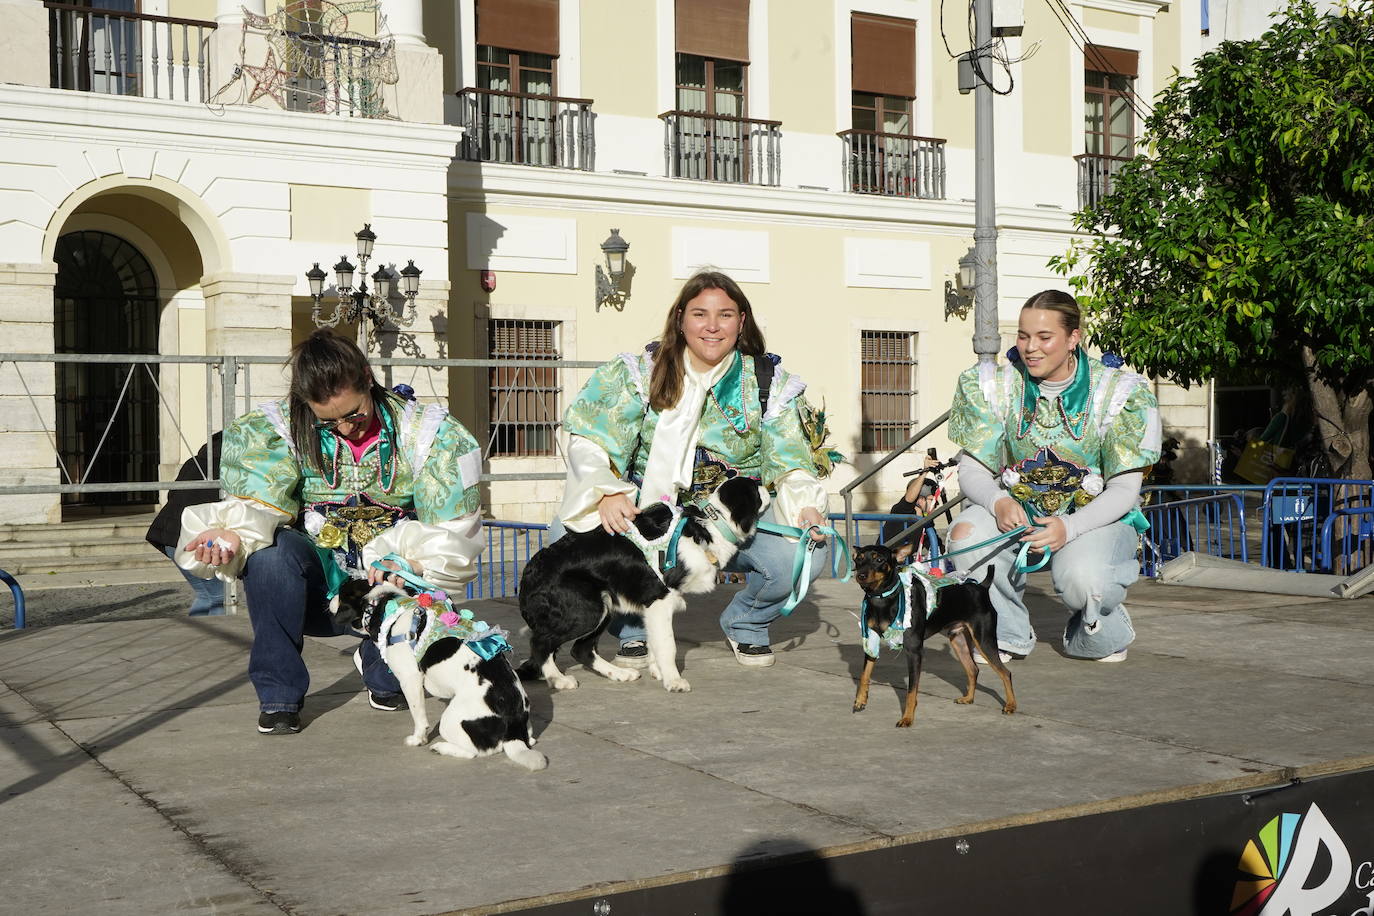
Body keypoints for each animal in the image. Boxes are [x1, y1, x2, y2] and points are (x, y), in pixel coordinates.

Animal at [331, 579, 546, 774]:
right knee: (530, 739)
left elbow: (418, 717)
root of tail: (512, 719)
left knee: (474, 752)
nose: (328, 600)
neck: (389, 604)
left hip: (449, 721)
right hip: (523, 728)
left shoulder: (410, 679)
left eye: (341, 591)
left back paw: (440, 747)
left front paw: (418, 739)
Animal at [516, 480, 774, 694]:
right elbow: (668, 645)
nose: (768, 486)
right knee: (541, 643)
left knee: (582, 649)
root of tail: (530, 571)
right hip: (586, 611)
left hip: (603, 606)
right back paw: (558, 679)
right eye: (755, 488)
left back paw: (619, 674)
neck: (710, 525)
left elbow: (655, 642)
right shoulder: (659, 599)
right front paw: (673, 681)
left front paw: (658, 671)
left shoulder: (652, 608)